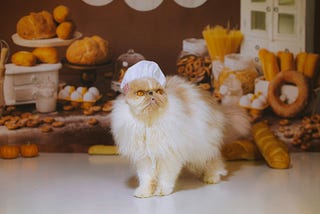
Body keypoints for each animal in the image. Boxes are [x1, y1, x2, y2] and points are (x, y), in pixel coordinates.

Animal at [110, 61, 250, 198]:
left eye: (159, 91)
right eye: (140, 93)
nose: (151, 93)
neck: (149, 123)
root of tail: (217, 107)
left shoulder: (168, 155)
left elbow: (165, 177)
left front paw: (162, 191)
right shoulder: (145, 158)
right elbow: (147, 178)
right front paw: (144, 192)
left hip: (204, 146)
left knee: (214, 161)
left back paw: (211, 178)